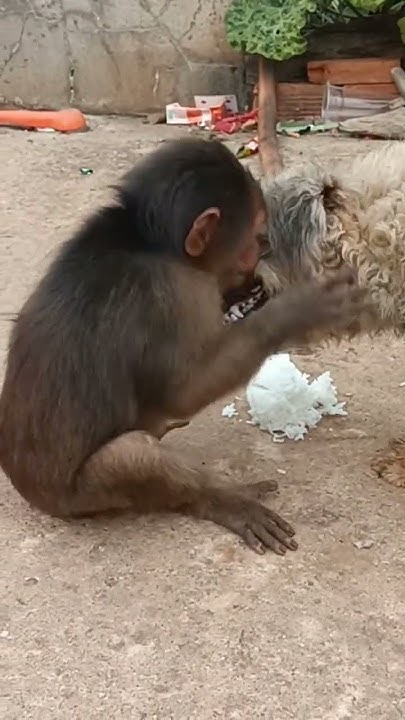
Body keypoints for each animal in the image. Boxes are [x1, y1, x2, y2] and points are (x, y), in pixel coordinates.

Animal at [0, 138, 365, 556]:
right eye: (257, 238)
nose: (261, 260)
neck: (151, 243)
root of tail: (27, 490)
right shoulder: (184, 292)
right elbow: (180, 391)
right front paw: (297, 310)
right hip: (76, 499)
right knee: (134, 453)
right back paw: (221, 500)